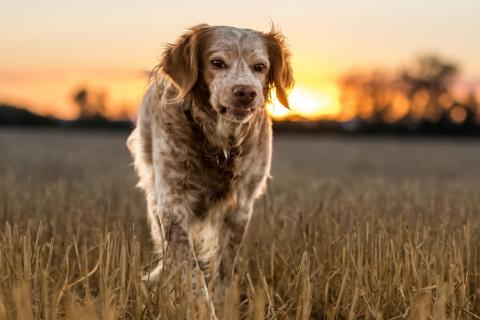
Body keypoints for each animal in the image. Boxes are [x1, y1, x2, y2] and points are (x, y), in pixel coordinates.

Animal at [127, 25, 292, 294]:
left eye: (260, 66)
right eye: (217, 63)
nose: (246, 92)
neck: (221, 144)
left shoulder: (240, 208)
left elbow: (224, 265)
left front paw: (222, 298)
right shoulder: (172, 204)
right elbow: (191, 271)